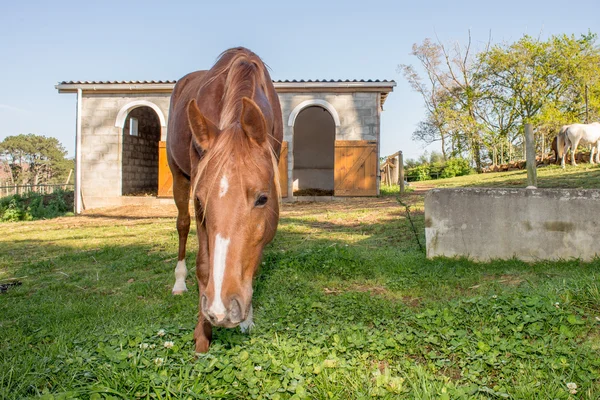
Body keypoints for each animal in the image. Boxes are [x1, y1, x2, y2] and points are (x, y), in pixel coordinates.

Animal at [166, 47, 284, 354]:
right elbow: (204, 263)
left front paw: (247, 319)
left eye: (263, 199)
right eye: (200, 200)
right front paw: (202, 335)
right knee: (182, 226)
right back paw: (179, 282)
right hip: (178, 176)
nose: (221, 310)